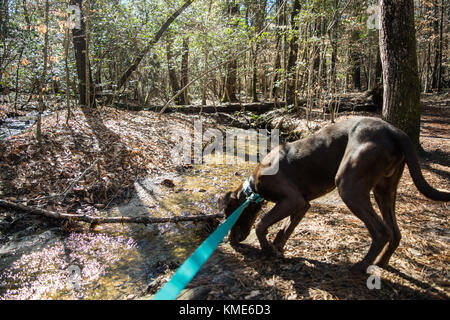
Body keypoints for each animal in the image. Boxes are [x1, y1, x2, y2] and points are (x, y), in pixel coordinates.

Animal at [219, 117, 450, 272]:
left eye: (229, 215)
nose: (230, 241)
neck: (253, 188)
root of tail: (394, 131)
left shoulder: (292, 200)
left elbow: (261, 225)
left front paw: (267, 249)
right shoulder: (301, 205)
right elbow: (285, 229)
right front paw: (277, 248)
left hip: (349, 187)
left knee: (381, 231)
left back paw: (360, 266)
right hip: (384, 191)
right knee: (395, 232)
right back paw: (381, 263)